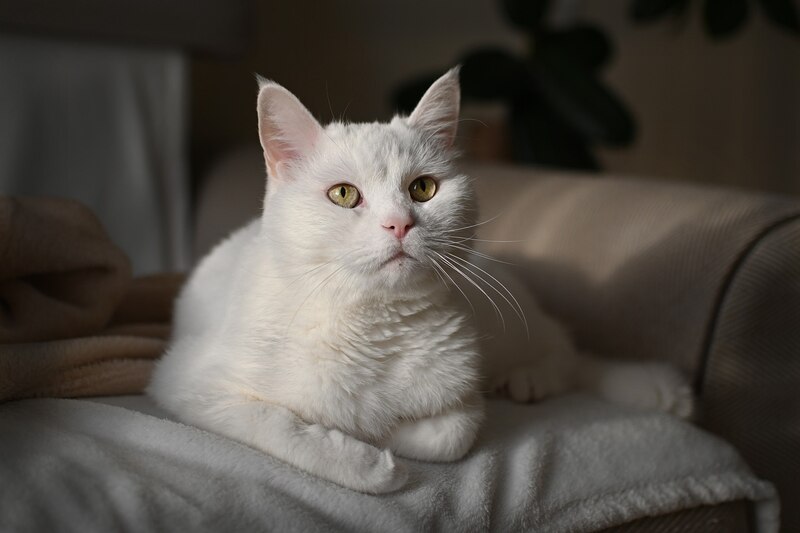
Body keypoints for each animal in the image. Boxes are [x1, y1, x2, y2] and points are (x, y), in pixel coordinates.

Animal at [147, 68, 692, 492]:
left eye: (423, 189)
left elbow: (454, 432)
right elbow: (278, 424)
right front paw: (368, 460)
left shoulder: (462, 395)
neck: (375, 327)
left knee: (570, 352)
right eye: (344, 194)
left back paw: (536, 379)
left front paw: (382, 435)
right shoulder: (189, 383)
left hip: (508, 326)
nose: (400, 224)